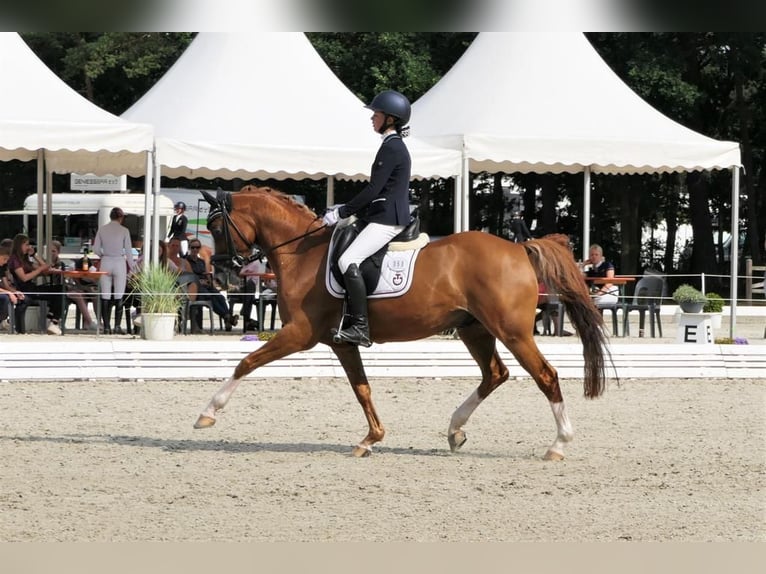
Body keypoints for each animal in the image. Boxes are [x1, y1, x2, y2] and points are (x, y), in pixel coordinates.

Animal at [196, 187, 612, 462]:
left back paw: (558, 444)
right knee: (495, 374)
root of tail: (518, 249)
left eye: (215, 227)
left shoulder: (299, 334)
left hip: (511, 331)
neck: (303, 253)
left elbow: (246, 362)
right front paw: (370, 439)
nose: (224, 276)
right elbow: (362, 389)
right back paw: (455, 430)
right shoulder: (342, 342)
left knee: (545, 375)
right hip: (474, 329)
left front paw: (208, 413)